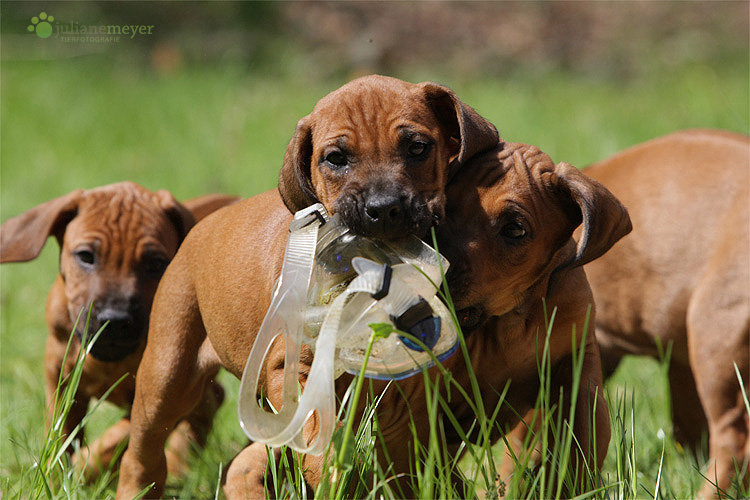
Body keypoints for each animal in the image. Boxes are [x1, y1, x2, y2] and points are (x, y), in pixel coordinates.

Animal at [116, 76, 500, 498]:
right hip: (165, 372)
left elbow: (411, 462)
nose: (383, 209)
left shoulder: (409, 398)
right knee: (143, 450)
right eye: (335, 158)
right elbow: (318, 439)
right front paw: (330, 476)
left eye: (418, 147)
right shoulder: (289, 369)